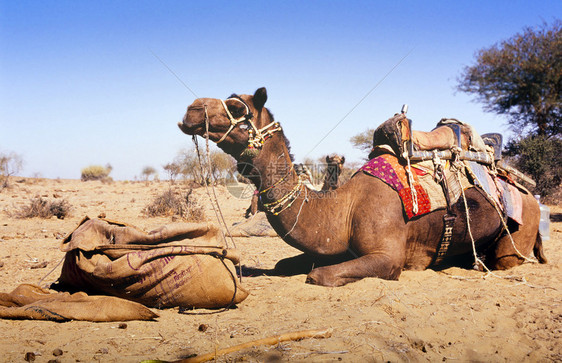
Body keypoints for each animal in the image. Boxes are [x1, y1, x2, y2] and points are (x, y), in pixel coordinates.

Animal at [177, 88, 544, 288]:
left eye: (238, 107)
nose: (192, 108)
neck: (343, 207)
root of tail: (530, 193)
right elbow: (287, 265)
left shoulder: (389, 257)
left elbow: (318, 276)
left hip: (519, 234)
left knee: (507, 259)